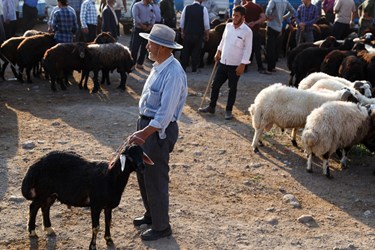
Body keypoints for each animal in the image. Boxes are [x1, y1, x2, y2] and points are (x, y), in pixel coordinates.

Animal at [21, 145, 153, 250]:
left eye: (142, 154)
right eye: (129, 157)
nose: (142, 167)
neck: (110, 177)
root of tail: (36, 164)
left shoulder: (108, 206)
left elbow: (108, 221)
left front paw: (109, 240)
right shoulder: (95, 205)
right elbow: (96, 227)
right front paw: (93, 246)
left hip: (50, 193)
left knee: (45, 208)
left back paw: (49, 229)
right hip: (43, 191)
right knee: (33, 207)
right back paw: (32, 232)